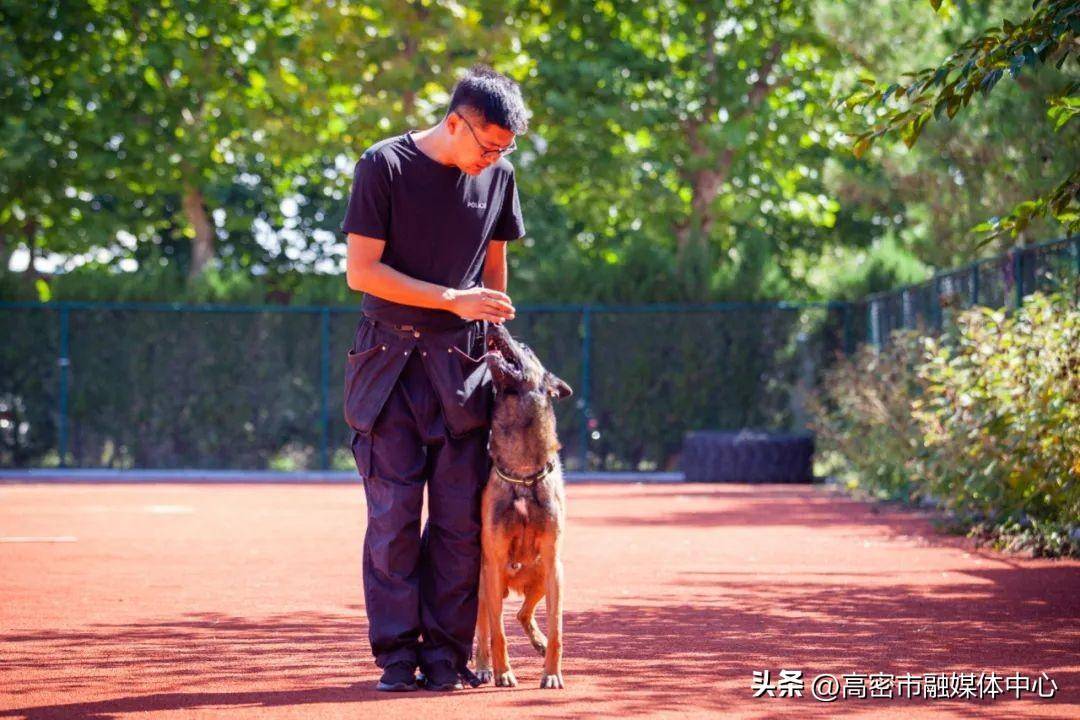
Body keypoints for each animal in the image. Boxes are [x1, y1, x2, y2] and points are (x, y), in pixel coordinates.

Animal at [473, 323, 574, 690]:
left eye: (527, 349)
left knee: (522, 612)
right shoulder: (492, 563)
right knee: (485, 628)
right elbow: (497, 632)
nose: (494, 323)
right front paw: (503, 672)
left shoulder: (554, 563)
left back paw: (538, 640)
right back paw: (484, 667)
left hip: (545, 575)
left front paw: (552, 673)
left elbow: (558, 629)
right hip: (483, 584)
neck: (521, 470)